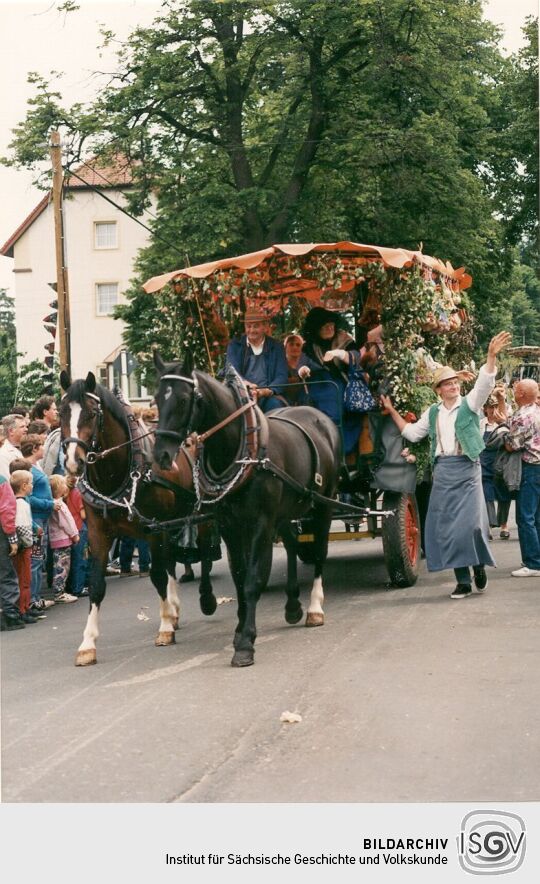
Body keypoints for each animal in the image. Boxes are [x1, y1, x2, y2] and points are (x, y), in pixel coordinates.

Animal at [59, 370, 217, 668]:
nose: (74, 462)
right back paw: (174, 608)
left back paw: (206, 599)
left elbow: (156, 575)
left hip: (200, 514)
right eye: (62, 412)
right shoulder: (98, 531)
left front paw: (164, 627)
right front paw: (87, 644)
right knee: (171, 561)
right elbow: (96, 584)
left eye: (91, 413)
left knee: (202, 552)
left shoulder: (154, 527)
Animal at [152, 350, 340, 664]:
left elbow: (252, 579)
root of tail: (318, 415)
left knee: (320, 552)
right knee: (291, 544)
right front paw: (240, 628)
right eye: (155, 398)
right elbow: (240, 578)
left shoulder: (260, 522)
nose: (161, 456)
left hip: (326, 501)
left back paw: (314, 607)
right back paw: (292, 604)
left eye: (182, 399)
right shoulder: (230, 524)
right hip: (284, 512)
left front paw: (245, 643)